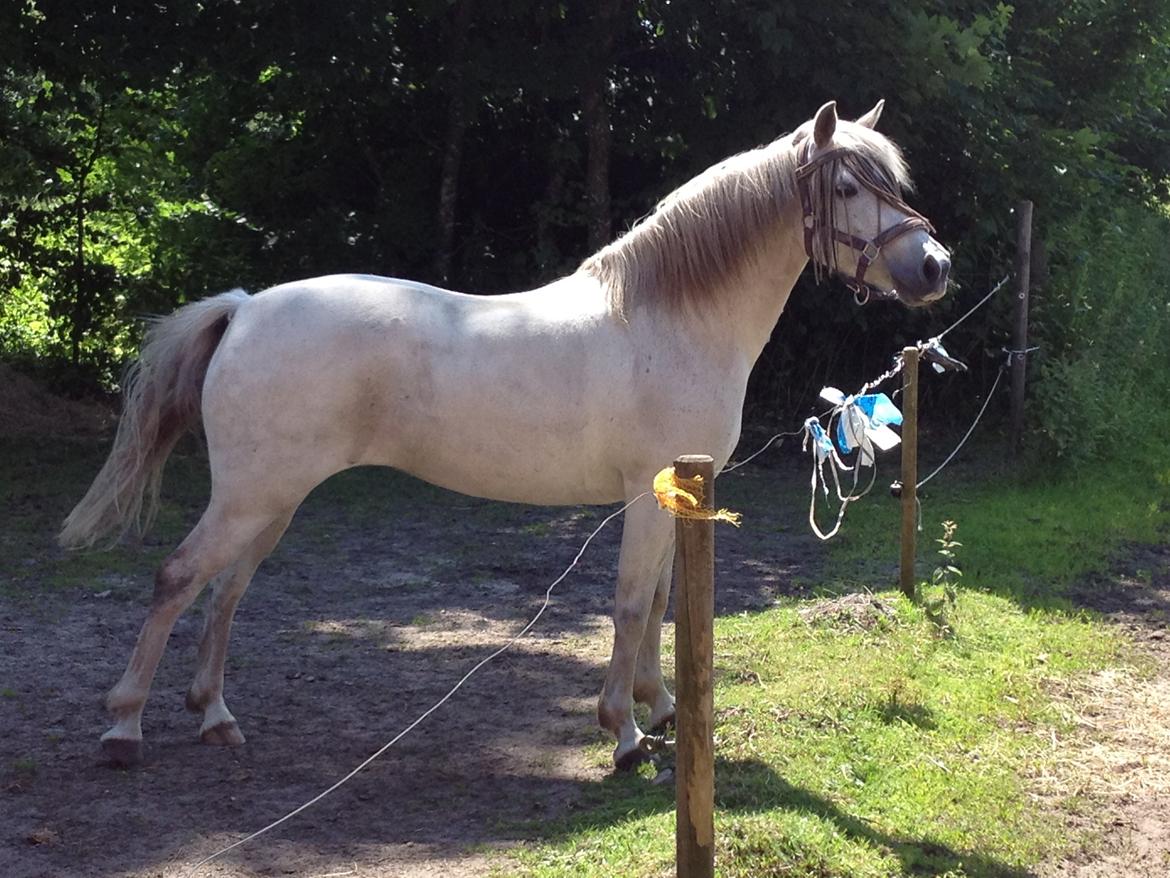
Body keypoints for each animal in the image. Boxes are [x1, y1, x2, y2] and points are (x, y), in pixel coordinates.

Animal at [61, 100, 950, 770]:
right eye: (846, 186)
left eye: (892, 180)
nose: (933, 267)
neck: (671, 317)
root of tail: (245, 308)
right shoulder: (644, 495)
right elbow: (632, 603)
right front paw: (623, 732)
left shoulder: (673, 492)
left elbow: (662, 601)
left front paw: (661, 708)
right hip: (251, 497)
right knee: (179, 579)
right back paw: (122, 726)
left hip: (271, 501)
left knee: (228, 589)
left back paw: (214, 716)